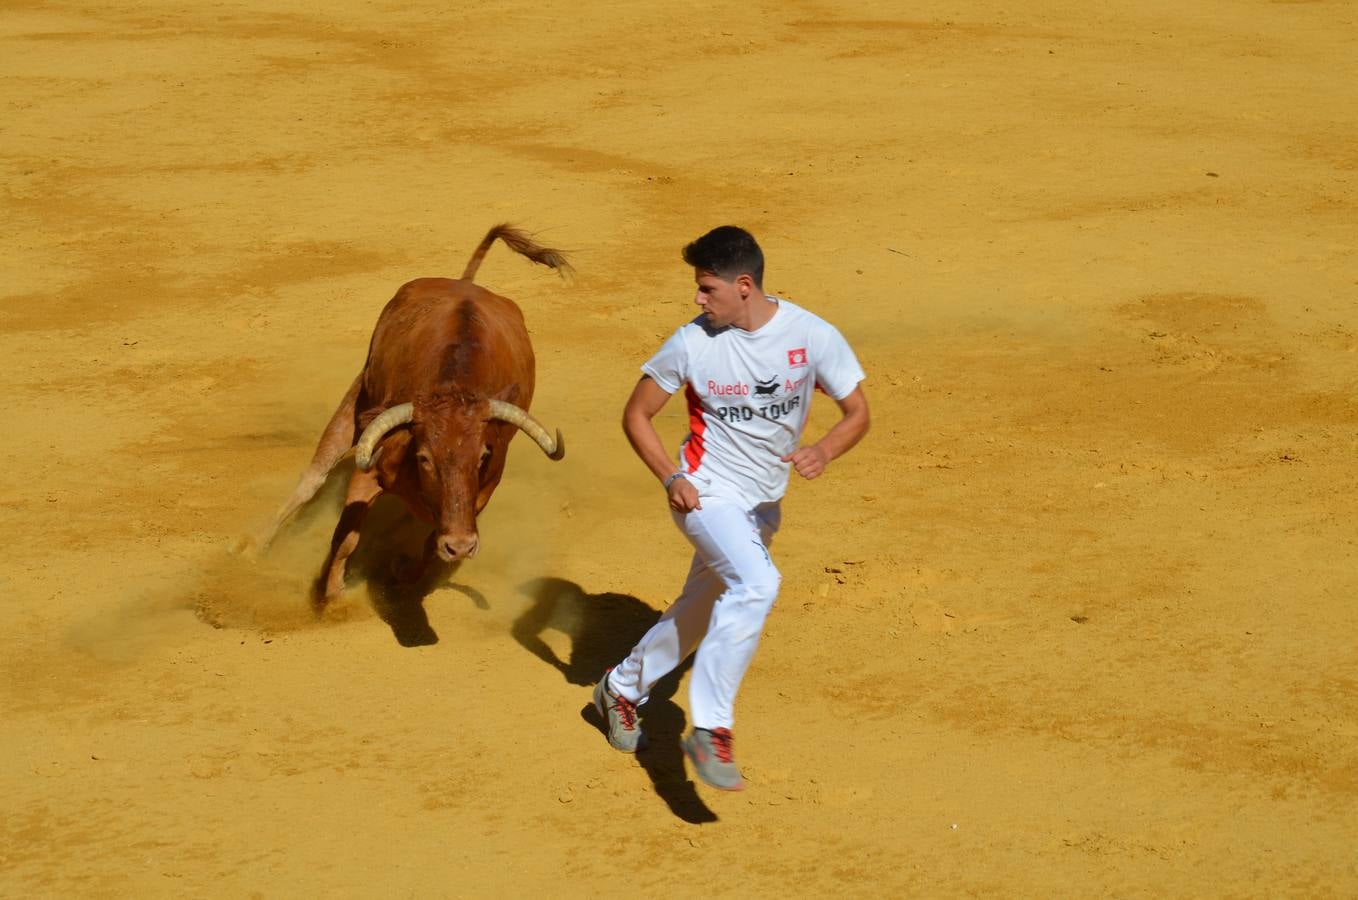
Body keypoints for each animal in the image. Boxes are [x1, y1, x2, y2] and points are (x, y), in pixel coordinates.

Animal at [264, 225, 567, 605]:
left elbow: (429, 546)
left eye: (483, 456)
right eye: (424, 458)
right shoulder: (370, 470)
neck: (455, 387)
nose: (462, 546)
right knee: (313, 476)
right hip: (359, 393)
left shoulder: (481, 495)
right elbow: (346, 537)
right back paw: (253, 545)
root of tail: (464, 283)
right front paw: (331, 594)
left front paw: (401, 572)